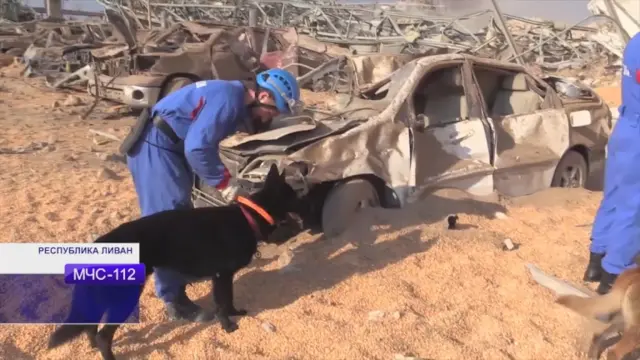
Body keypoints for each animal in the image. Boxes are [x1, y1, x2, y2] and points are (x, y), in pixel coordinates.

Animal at [48, 165, 302, 360]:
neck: (248, 217)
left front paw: (235, 313)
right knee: (103, 335)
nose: (306, 201)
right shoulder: (221, 276)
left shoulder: (224, 277)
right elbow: (221, 304)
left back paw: (91, 345)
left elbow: (228, 300)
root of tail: (100, 243)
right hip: (124, 295)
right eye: (293, 194)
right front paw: (228, 326)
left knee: (90, 325)